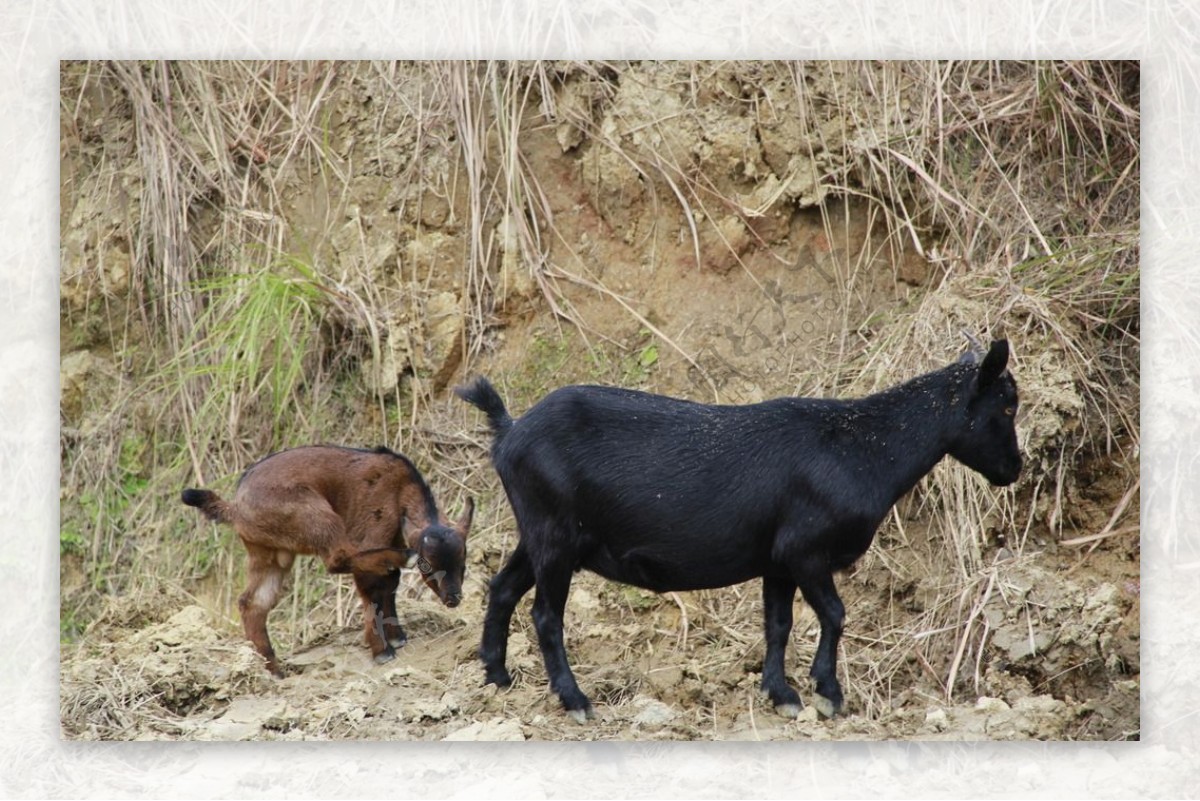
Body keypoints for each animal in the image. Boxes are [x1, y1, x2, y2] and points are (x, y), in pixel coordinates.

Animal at [182, 443, 472, 676]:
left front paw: (397, 637)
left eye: (463, 564)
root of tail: (235, 506)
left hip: (270, 554)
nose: (453, 598)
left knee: (253, 602)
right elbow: (373, 588)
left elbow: (390, 583)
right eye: (427, 565)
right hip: (317, 517)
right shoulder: (373, 532)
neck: (400, 489)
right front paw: (382, 650)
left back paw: (273, 670)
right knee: (337, 559)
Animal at [453, 335, 1017, 719]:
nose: (1015, 470)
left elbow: (778, 624)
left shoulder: (778, 561)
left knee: (502, 588)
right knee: (546, 615)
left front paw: (782, 694)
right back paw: (574, 700)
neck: (862, 448)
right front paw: (828, 693)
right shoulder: (805, 550)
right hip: (554, 537)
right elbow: (835, 614)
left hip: (542, 533)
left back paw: (497, 675)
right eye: (1008, 406)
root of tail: (509, 432)